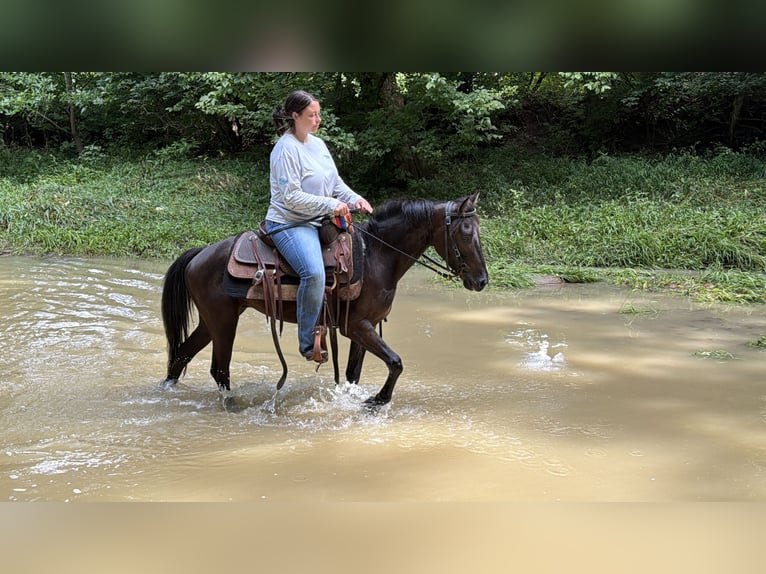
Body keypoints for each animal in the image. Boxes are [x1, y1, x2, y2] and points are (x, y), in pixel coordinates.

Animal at [160, 192, 488, 407]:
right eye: (465, 233)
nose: (482, 280)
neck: (377, 257)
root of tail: (199, 254)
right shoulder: (355, 326)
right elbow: (395, 362)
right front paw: (379, 400)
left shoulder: (363, 327)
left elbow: (353, 374)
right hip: (223, 322)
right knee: (219, 370)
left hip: (211, 322)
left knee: (181, 356)